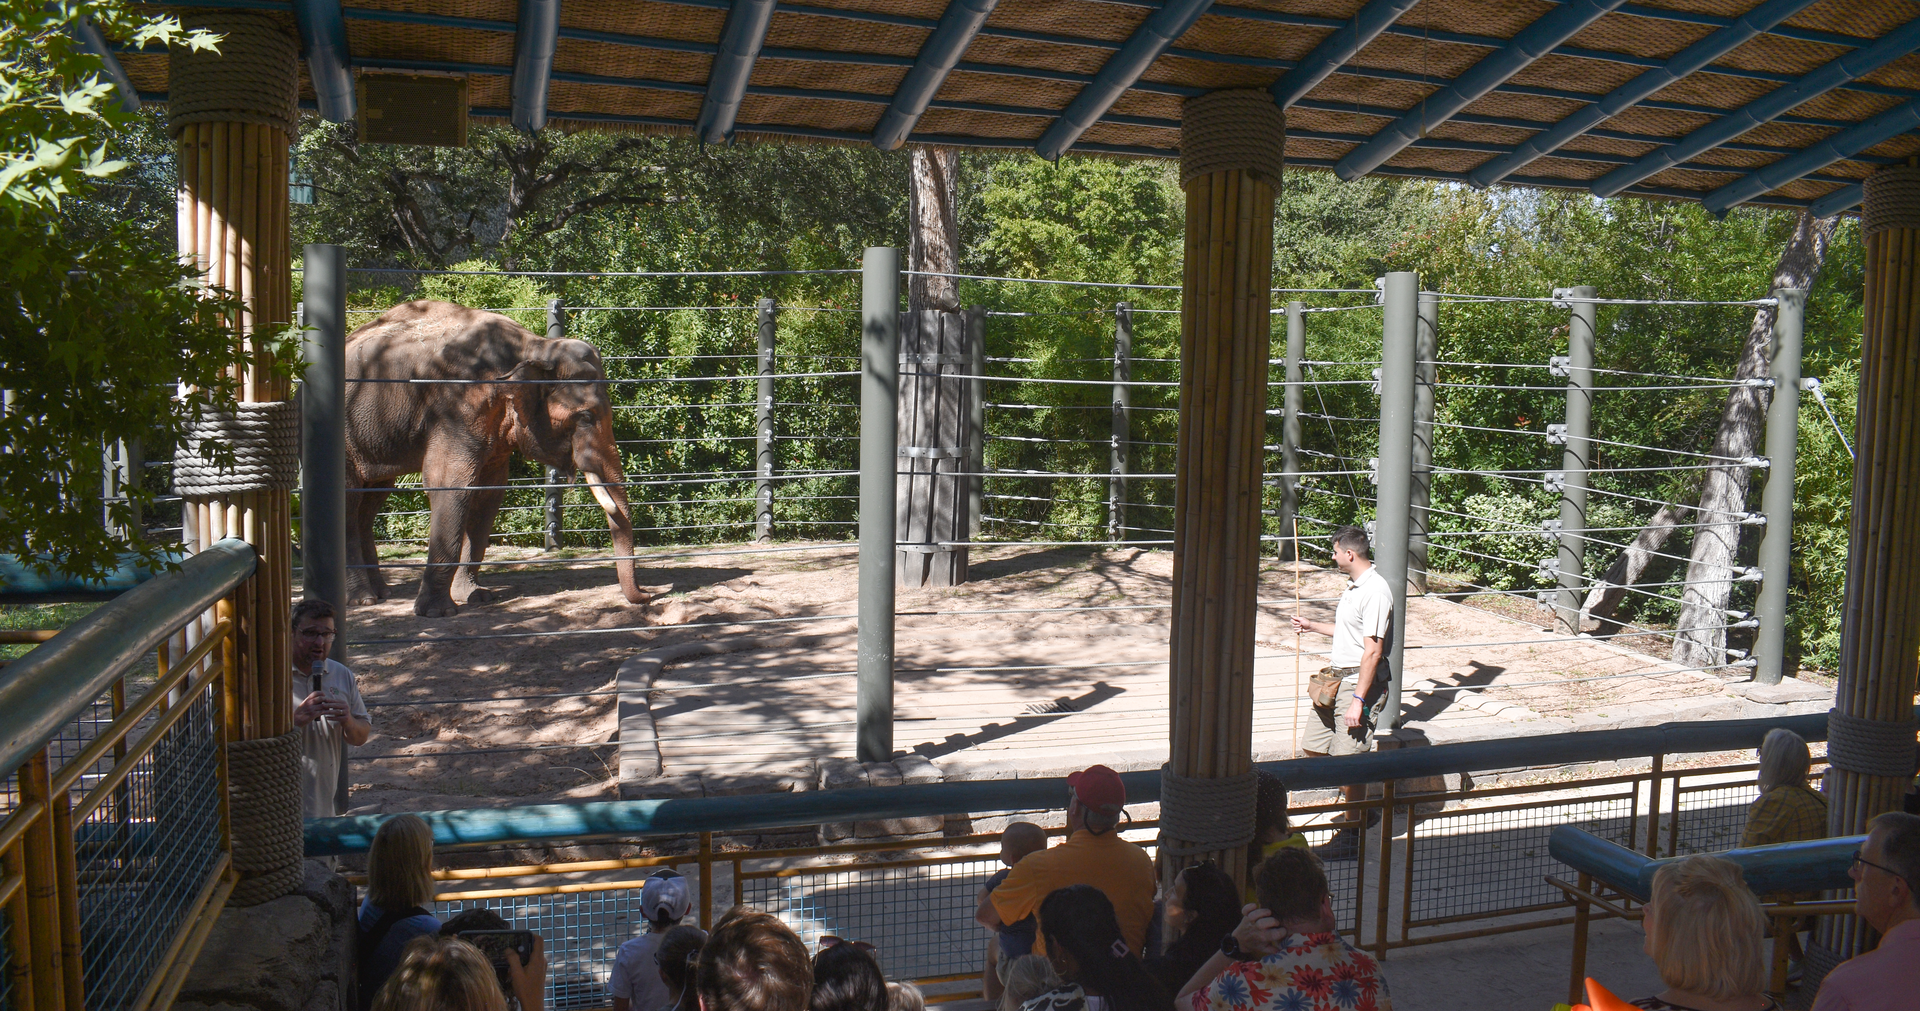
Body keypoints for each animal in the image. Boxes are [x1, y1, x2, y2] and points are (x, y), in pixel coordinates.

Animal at [342, 300, 647, 616]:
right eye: (586, 417)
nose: (647, 595)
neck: (534, 347)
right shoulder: (455, 407)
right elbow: (450, 484)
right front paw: (438, 612)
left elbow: (489, 493)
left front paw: (477, 597)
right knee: (350, 500)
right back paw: (363, 599)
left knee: (372, 499)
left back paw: (382, 593)